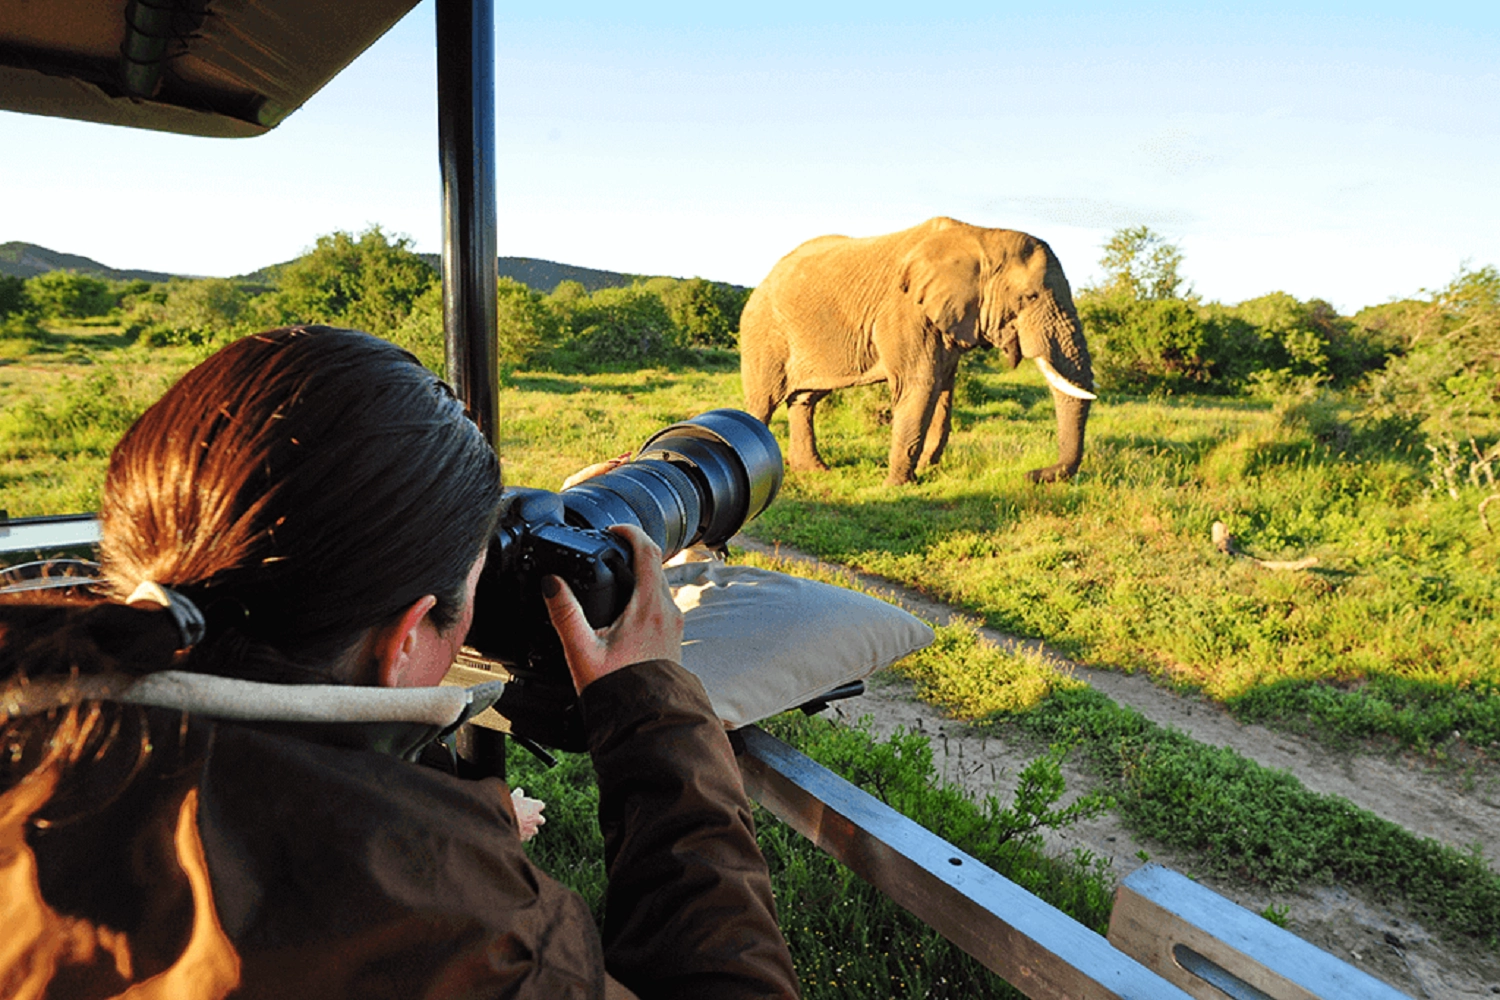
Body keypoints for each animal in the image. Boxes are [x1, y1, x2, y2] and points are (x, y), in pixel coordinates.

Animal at [744, 215, 1098, 488]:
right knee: (763, 401)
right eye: (1029, 297)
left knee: (805, 400)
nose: (1032, 474)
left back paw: (816, 471)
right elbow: (920, 385)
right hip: (763, 331)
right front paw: (897, 486)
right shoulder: (905, 310)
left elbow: (942, 389)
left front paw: (926, 468)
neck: (981, 235)